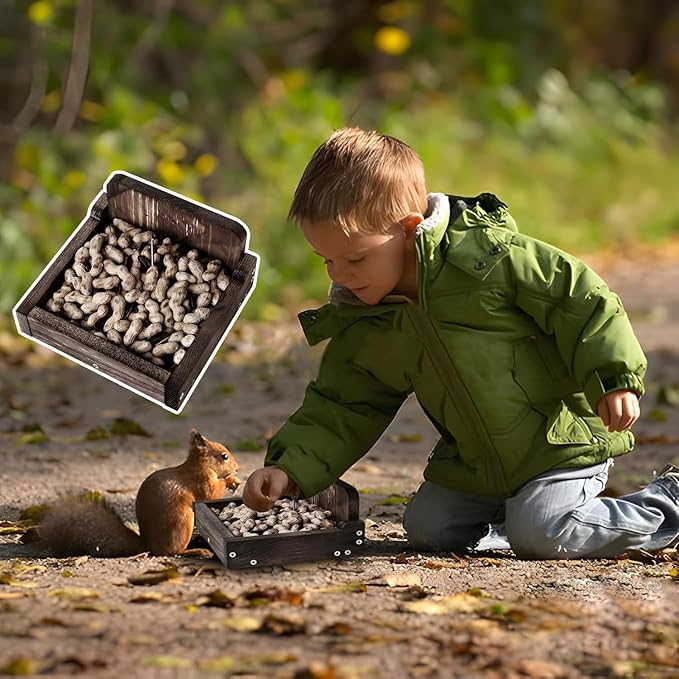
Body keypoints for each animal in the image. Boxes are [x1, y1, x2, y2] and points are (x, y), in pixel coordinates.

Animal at [36, 429, 241, 557]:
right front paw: (230, 480)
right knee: (171, 552)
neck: (199, 465)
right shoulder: (201, 481)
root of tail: (148, 544)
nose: (238, 469)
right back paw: (197, 551)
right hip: (183, 521)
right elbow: (210, 495)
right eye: (224, 456)